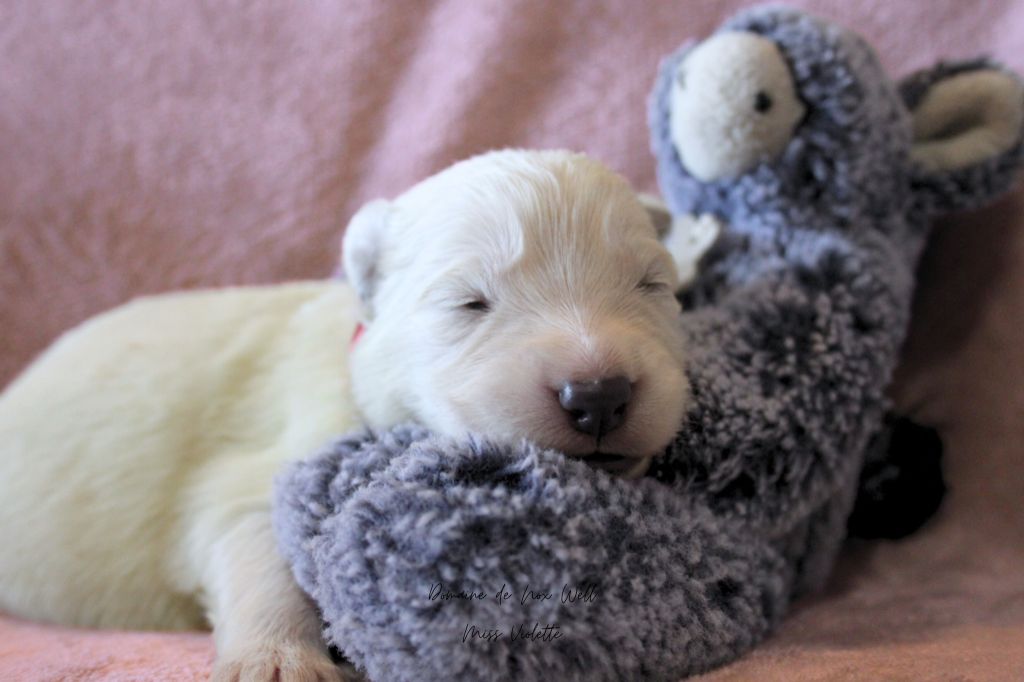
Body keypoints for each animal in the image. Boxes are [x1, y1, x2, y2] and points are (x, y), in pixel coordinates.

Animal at [0, 149, 711, 681]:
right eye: (469, 303)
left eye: (653, 285)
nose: (598, 396)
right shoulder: (273, 456)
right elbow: (258, 549)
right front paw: (278, 660)